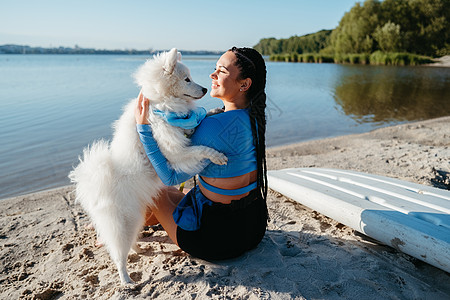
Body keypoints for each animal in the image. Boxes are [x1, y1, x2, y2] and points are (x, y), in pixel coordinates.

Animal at [68, 48, 227, 284]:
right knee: (119, 254)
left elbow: (198, 121)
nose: (206, 88)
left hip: (135, 217)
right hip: (123, 223)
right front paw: (216, 156)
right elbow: (200, 149)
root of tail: (96, 185)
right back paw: (126, 281)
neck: (161, 104)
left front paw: (214, 110)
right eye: (187, 79)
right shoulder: (174, 151)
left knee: (129, 244)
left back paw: (139, 251)